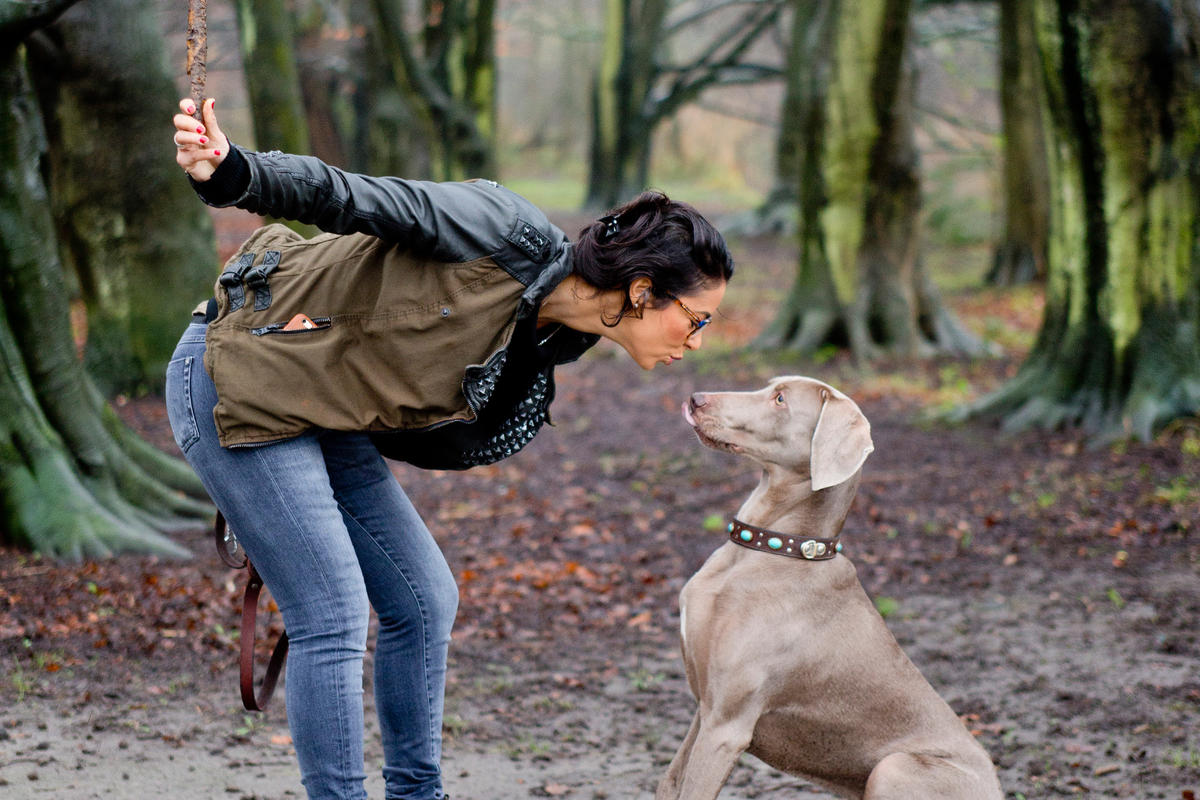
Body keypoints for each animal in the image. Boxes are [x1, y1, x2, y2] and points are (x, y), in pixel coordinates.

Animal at [657, 379, 1003, 800]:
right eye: (770, 386)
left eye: (780, 399)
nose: (696, 399)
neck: (771, 549)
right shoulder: (705, 706)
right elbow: (670, 780)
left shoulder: (727, 723)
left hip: (892, 768)